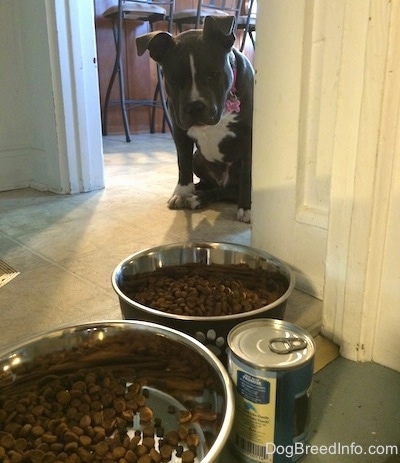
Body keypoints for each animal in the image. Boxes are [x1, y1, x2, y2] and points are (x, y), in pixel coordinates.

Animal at [137, 16, 253, 223]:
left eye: (213, 74)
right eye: (174, 80)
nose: (194, 106)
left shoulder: (248, 137)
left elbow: (247, 175)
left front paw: (245, 208)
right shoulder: (179, 131)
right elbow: (183, 164)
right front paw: (182, 193)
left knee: (227, 190)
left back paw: (200, 197)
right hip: (198, 157)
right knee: (212, 185)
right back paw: (195, 193)